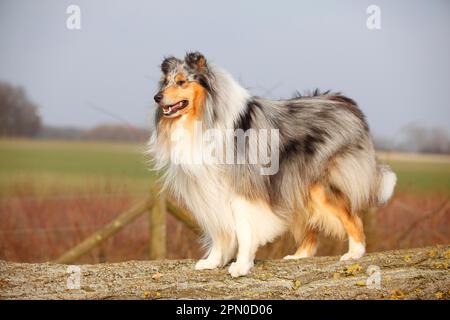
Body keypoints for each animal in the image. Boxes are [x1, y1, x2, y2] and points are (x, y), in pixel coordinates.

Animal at [146, 51, 396, 276]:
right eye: (165, 82)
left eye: (181, 82)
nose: (156, 97)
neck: (203, 118)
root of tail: (347, 104)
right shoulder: (210, 191)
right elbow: (219, 231)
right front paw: (212, 262)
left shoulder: (242, 189)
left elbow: (244, 230)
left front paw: (241, 266)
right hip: (294, 185)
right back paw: (298, 256)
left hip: (320, 186)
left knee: (354, 218)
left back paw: (354, 253)